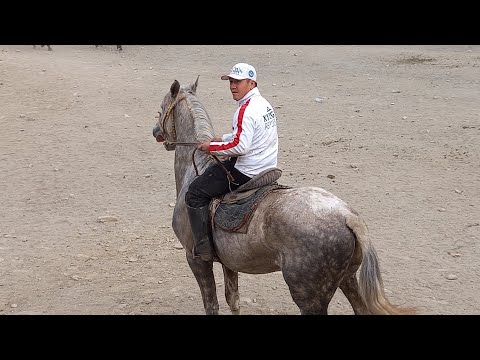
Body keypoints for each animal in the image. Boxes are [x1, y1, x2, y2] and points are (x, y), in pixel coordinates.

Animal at [152, 76, 414, 316]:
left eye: (160, 110)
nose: (156, 132)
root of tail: (348, 216)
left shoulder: (196, 260)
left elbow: (212, 304)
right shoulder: (229, 263)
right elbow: (233, 300)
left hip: (309, 297)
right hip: (348, 279)